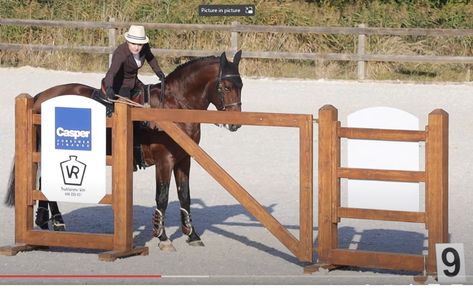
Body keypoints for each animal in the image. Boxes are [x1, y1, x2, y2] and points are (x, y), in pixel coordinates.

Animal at [4, 50, 243, 251]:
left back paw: (48, 221)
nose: (235, 124)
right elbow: (163, 197)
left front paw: (192, 235)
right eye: (226, 87)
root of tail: (40, 97)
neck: (175, 106)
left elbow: (185, 196)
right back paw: (56, 222)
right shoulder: (165, 161)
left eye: (240, 86)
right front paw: (163, 237)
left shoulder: (184, 160)